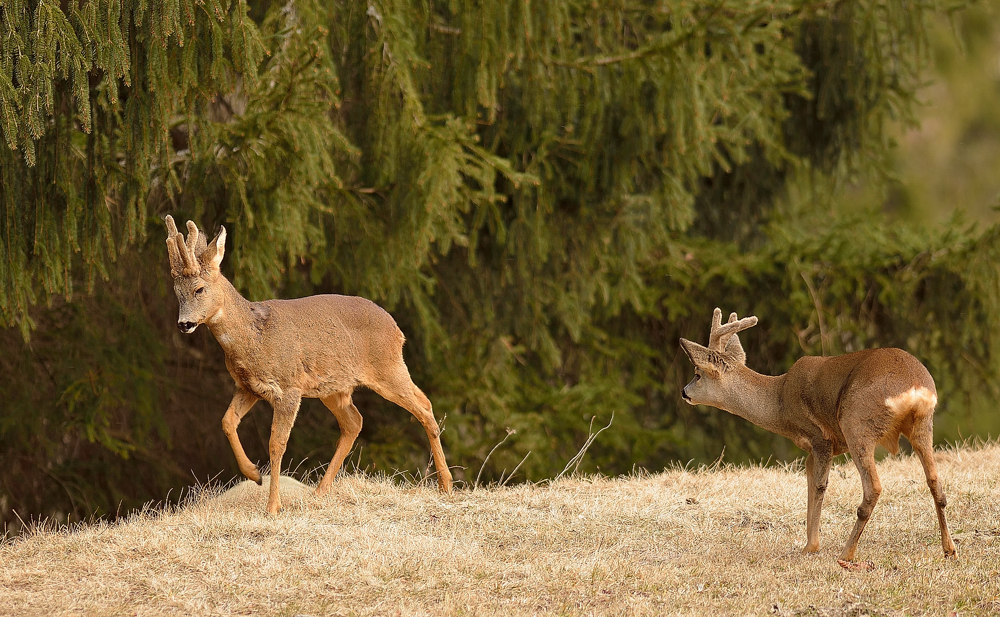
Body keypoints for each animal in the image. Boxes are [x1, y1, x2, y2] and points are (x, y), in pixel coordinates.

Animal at [163, 214, 454, 512]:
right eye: (177, 292)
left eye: (199, 289)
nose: (184, 323)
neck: (254, 337)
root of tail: (397, 329)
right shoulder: (247, 387)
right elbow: (227, 421)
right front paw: (254, 474)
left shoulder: (289, 387)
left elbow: (276, 443)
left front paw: (273, 506)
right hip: (335, 387)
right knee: (357, 421)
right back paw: (319, 491)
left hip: (387, 367)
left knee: (423, 408)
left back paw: (446, 485)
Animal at [680, 308, 952, 564]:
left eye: (697, 374)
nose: (684, 392)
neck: (779, 402)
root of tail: (914, 389)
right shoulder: (811, 449)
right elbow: (810, 483)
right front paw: (809, 543)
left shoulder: (821, 438)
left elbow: (820, 485)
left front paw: (811, 547)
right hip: (922, 426)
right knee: (935, 482)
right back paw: (949, 549)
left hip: (856, 424)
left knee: (873, 488)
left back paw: (846, 553)